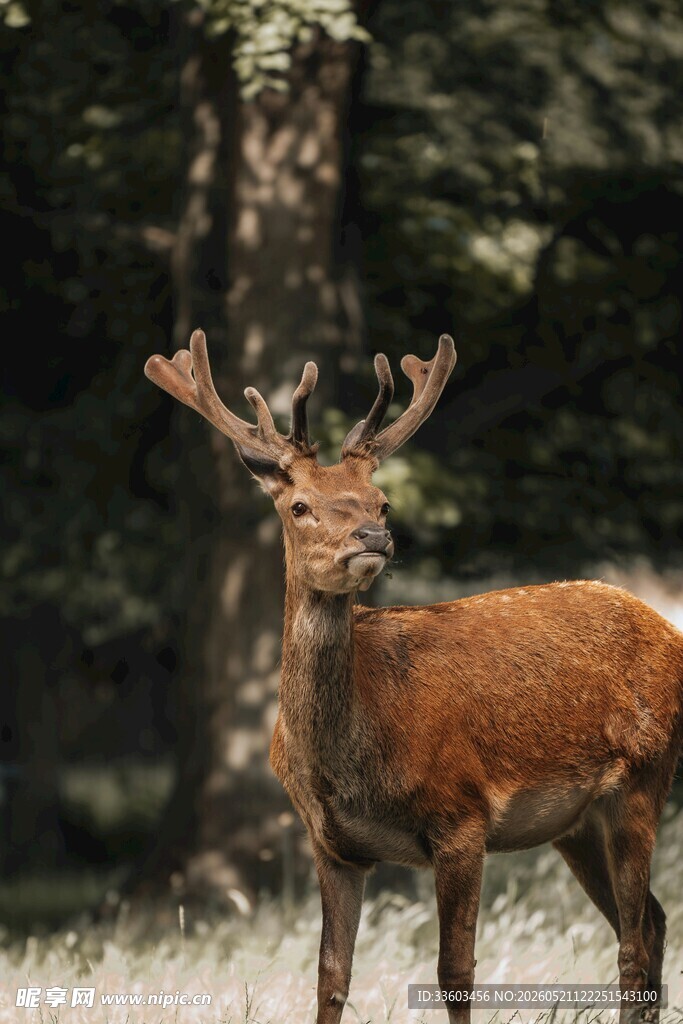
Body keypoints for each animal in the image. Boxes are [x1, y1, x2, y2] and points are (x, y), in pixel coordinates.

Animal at [145, 328, 683, 1024]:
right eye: (299, 505)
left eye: (383, 501)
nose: (374, 536)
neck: (351, 761)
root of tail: (669, 631)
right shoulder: (332, 845)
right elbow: (330, 974)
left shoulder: (462, 816)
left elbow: (455, 971)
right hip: (577, 824)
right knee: (651, 922)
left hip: (644, 777)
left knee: (635, 942)